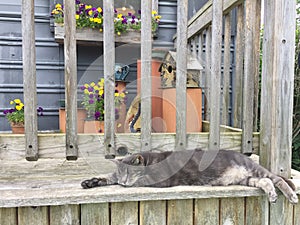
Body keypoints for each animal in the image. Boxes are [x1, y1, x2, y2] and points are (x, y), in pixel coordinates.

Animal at [80, 149, 298, 205]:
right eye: (121, 172)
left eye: (130, 172)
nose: (124, 180)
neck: (150, 161)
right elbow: (107, 177)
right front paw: (90, 181)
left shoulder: (159, 179)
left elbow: (139, 181)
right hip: (246, 179)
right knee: (266, 181)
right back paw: (271, 195)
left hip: (254, 170)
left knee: (277, 179)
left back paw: (291, 196)